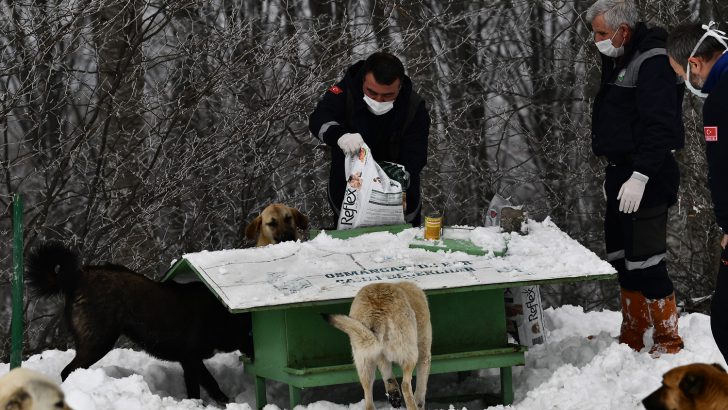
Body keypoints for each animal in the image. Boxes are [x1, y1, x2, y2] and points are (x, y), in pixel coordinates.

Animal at [26, 242, 253, 402]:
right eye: (251, 333)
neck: (221, 317)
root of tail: (76, 277)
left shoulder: (191, 361)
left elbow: (207, 386)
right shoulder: (191, 358)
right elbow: (204, 387)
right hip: (99, 341)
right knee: (67, 371)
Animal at [324, 282, 432, 410]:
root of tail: (376, 314)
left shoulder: (380, 356)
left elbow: (388, 376)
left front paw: (394, 395)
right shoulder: (424, 354)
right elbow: (421, 387)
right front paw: (418, 403)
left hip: (364, 362)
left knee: (369, 399)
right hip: (410, 355)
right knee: (405, 385)